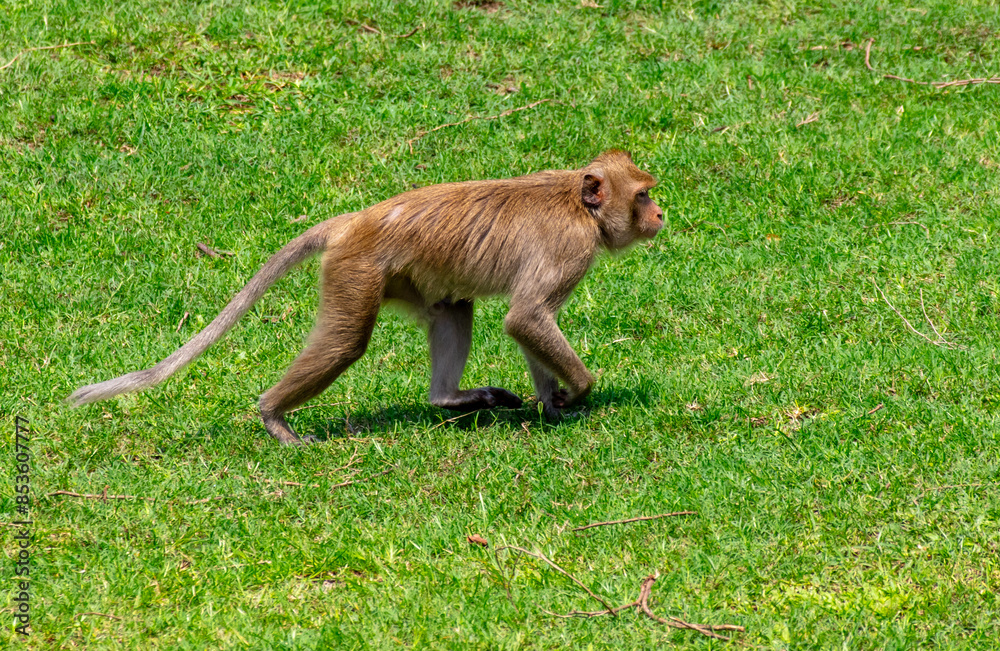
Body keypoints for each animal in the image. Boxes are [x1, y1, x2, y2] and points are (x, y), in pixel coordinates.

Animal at [68, 150, 664, 446]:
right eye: (641, 195)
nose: (660, 213)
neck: (577, 203)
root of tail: (354, 220)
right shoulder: (571, 248)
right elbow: (528, 317)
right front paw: (577, 391)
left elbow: (527, 326)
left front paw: (552, 404)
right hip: (355, 271)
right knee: (345, 342)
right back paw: (273, 416)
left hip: (405, 278)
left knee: (453, 308)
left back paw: (448, 398)